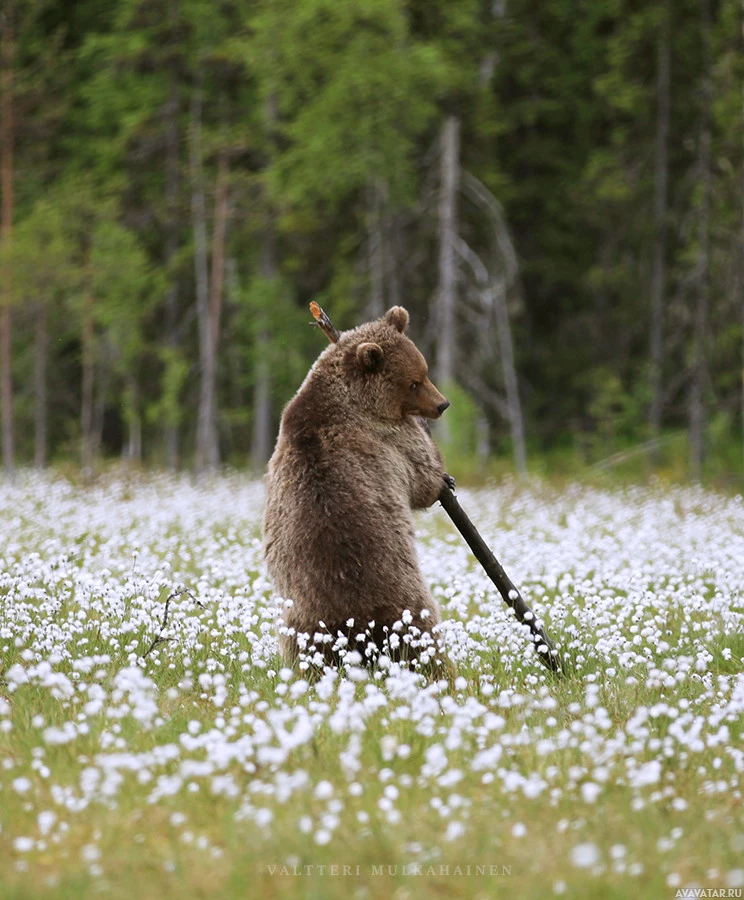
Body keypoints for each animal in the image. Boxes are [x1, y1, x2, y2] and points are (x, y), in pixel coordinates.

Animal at [264, 308, 450, 668]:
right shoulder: (389, 438)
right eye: (414, 382)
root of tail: (353, 629)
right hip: (406, 599)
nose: (442, 404)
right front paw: (442, 478)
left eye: (424, 371)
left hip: (300, 624)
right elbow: (423, 475)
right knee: (424, 637)